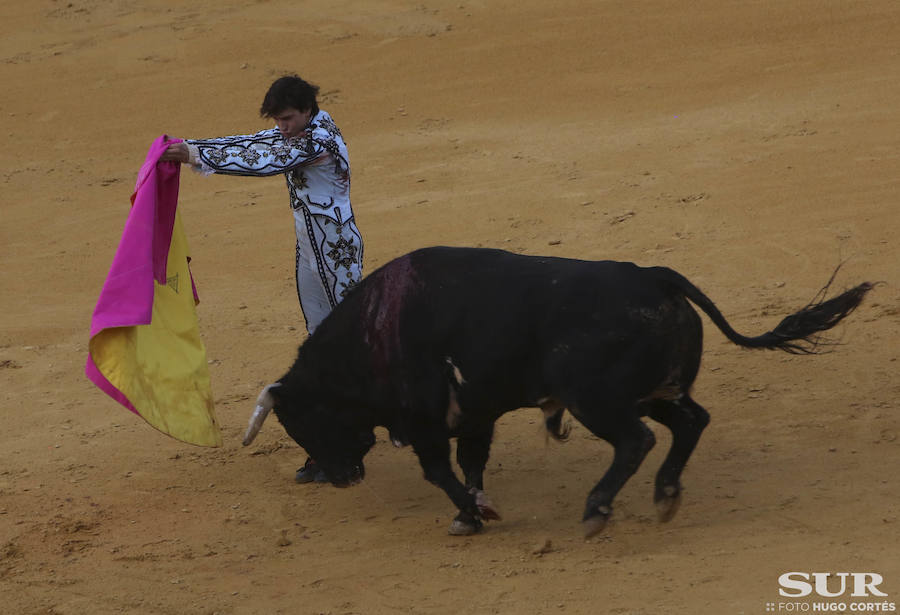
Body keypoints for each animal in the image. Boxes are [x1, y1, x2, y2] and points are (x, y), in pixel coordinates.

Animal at [241, 248, 872, 536]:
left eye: (303, 422)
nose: (337, 476)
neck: (372, 333)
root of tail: (655, 276)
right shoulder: (475, 414)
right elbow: (472, 462)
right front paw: (477, 511)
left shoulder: (425, 424)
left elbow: (442, 473)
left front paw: (469, 515)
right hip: (654, 391)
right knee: (691, 422)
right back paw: (666, 494)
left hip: (598, 398)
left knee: (637, 441)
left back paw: (597, 509)